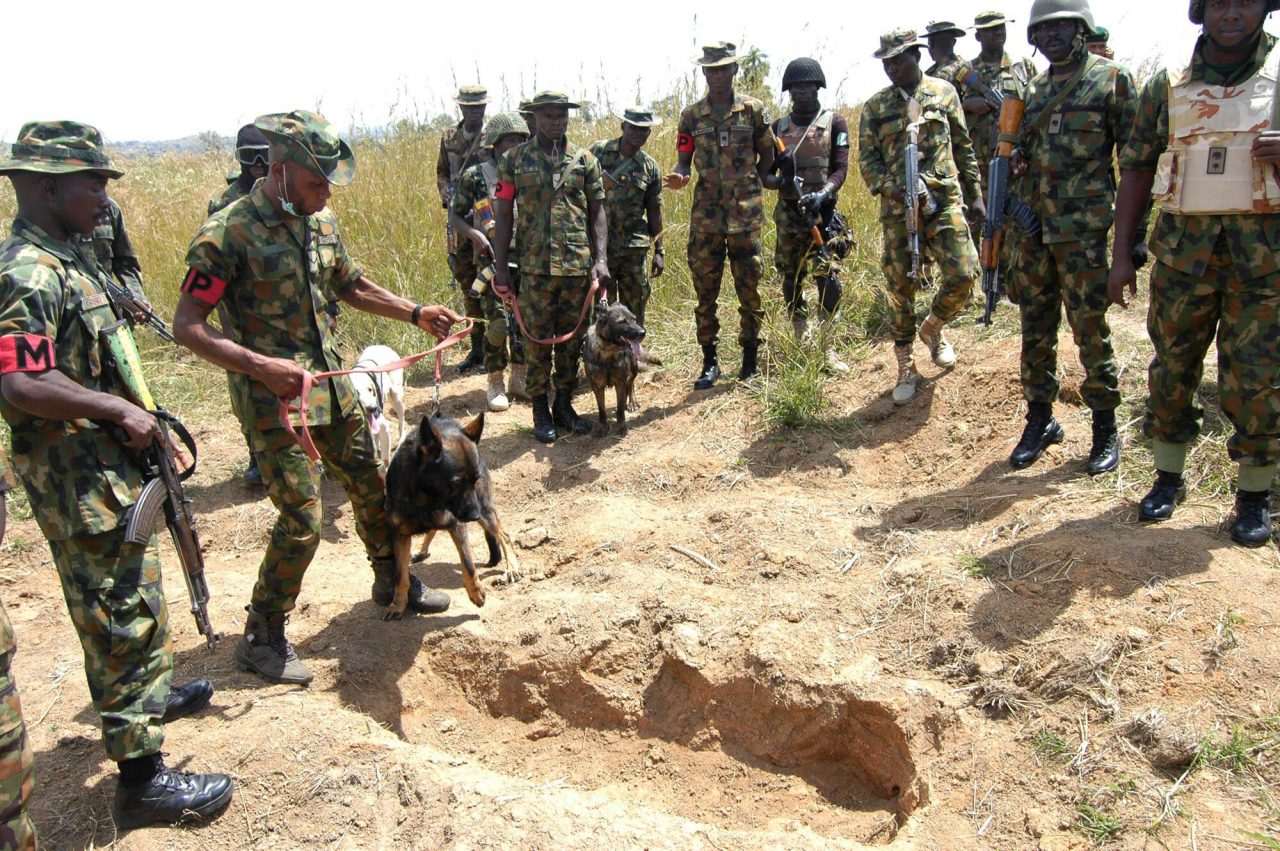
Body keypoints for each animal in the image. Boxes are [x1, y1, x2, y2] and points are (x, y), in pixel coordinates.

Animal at [350, 342, 404, 470]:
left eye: (370, 389)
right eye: (356, 393)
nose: (373, 408)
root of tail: (382, 346)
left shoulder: (384, 429)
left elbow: (385, 460)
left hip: (395, 395)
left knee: (401, 421)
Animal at [381, 409, 517, 614]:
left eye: (475, 479)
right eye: (455, 483)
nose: (474, 516)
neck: (424, 496)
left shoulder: (457, 524)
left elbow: (468, 564)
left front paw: (476, 592)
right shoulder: (400, 534)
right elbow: (400, 575)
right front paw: (398, 604)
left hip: (485, 512)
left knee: (504, 535)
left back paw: (513, 567)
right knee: (433, 528)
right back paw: (422, 551)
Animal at [581, 300, 660, 435]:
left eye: (634, 319)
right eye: (622, 321)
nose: (643, 332)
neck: (607, 352)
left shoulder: (620, 382)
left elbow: (620, 408)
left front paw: (621, 426)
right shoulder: (597, 386)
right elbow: (602, 411)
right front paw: (603, 427)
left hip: (633, 368)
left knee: (631, 384)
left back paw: (632, 402)